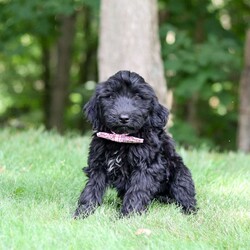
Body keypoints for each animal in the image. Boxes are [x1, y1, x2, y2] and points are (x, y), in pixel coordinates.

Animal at [73, 70, 196, 217]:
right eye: (111, 96)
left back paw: (188, 210)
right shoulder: (98, 164)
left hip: (179, 172)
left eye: (138, 97)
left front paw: (128, 216)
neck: (121, 139)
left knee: (183, 191)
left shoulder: (147, 167)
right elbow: (92, 187)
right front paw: (83, 213)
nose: (123, 118)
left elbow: (137, 191)